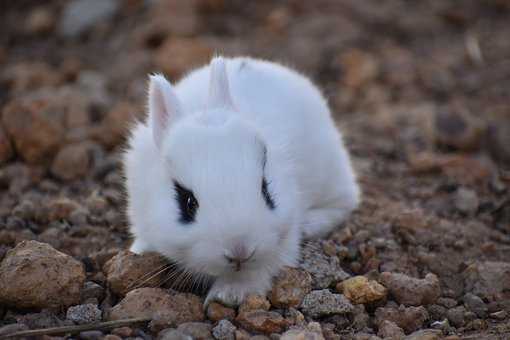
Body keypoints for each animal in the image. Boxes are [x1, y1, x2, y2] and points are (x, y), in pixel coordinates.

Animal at [124, 55, 358, 306]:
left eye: (266, 190)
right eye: (187, 202)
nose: (240, 252)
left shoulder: (285, 235)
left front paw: (229, 295)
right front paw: (137, 252)